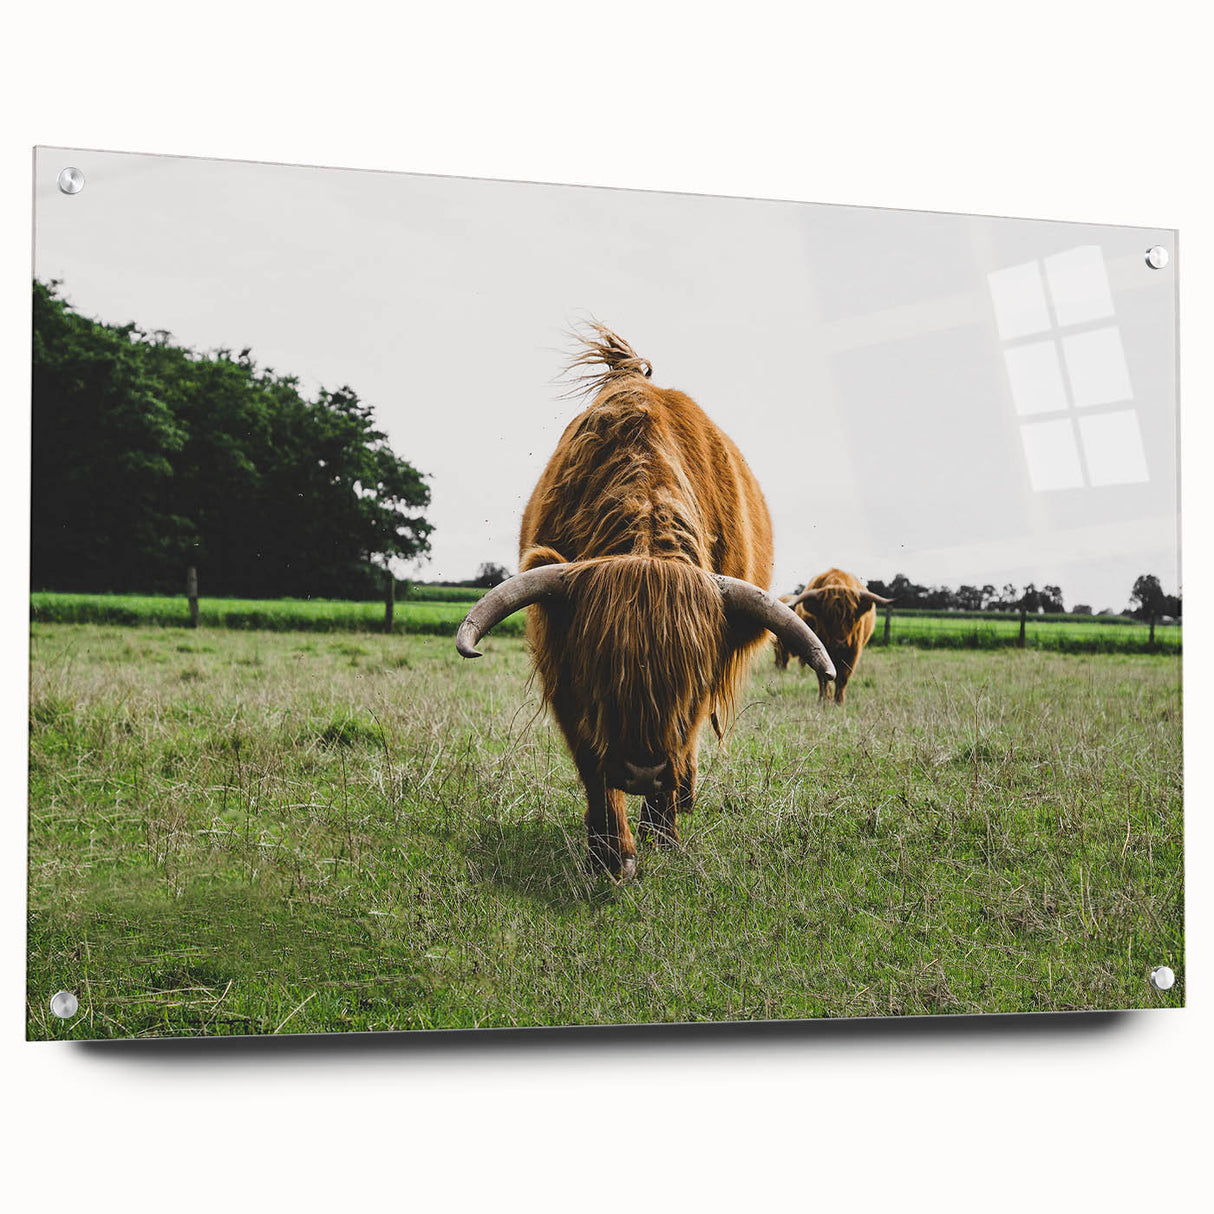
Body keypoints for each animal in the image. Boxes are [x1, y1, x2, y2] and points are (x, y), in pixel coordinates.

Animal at [456, 325, 835, 878]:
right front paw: (613, 853)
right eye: (599, 672)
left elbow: (682, 747)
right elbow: (593, 766)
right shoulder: (564, 673)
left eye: (691, 681)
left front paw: (664, 833)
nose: (641, 770)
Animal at [782, 568, 892, 704]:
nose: (840, 644)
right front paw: (824, 700)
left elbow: (843, 677)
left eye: (851, 618)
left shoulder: (852, 653)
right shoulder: (819, 651)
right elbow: (823, 678)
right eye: (827, 618)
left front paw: (839, 702)